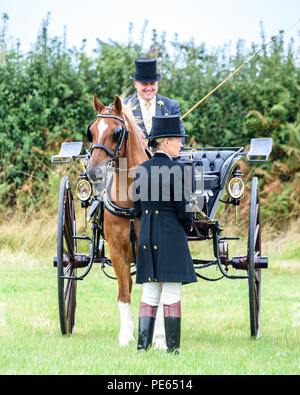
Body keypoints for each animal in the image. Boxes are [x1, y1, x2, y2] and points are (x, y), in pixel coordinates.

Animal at [86, 93, 163, 346]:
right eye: (91, 132)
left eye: (116, 132)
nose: (94, 171)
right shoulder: (117, 251)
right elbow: (124, 293)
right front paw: (126, 335)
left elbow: (157, 291)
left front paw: (158, 337)